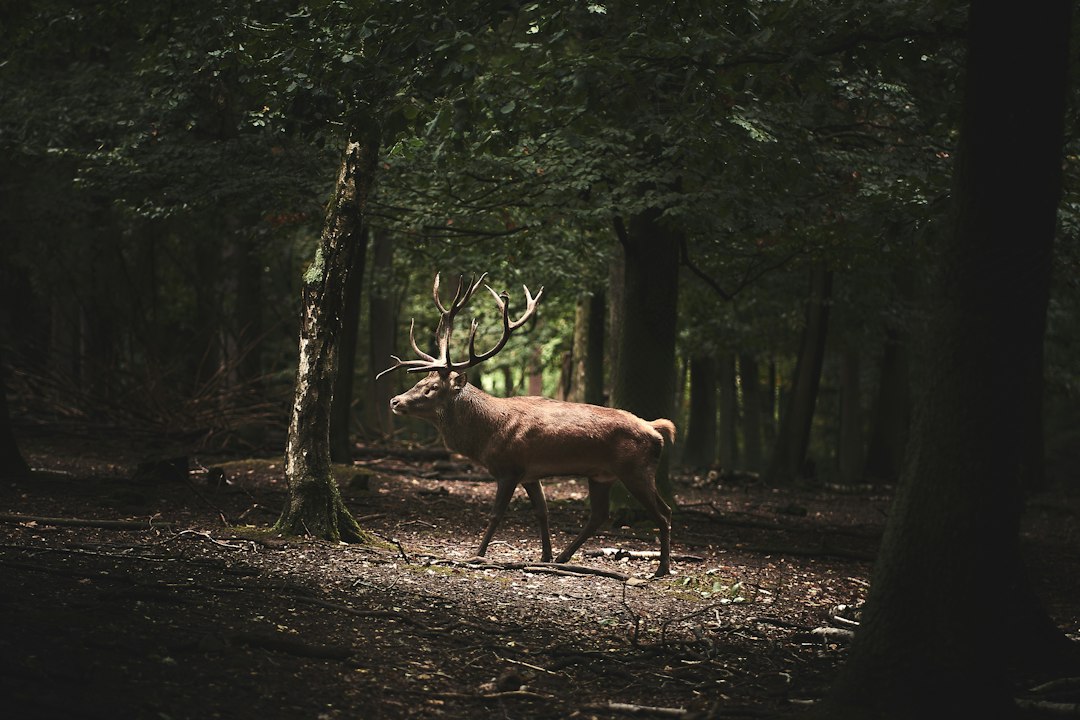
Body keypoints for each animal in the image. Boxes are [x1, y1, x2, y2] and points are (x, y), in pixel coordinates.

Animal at [377, 273, 675, 577]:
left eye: (432, 388)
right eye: (419, 381)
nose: (395, 401)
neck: (486, 436)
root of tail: (657, 430)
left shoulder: (509, 468)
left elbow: (496, 514)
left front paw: (478, 554)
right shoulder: (531, 474)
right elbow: (542, 512)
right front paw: (545, 555)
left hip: (635, 469)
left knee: (663, 512)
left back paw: (662, 568)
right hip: (602, 474)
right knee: (600, 514)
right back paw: (563, 557)